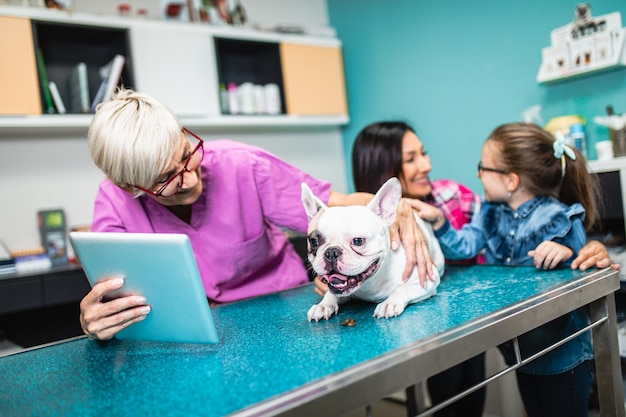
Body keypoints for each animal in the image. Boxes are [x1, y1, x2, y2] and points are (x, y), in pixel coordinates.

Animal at [300, 176, 442, 318]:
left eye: (358, 241)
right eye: (313, 241)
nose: (331, 252)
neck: (371, 281)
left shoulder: (427, 280)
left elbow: (402, 289)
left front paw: (389, 303)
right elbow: (331, 293)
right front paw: (323, 305)